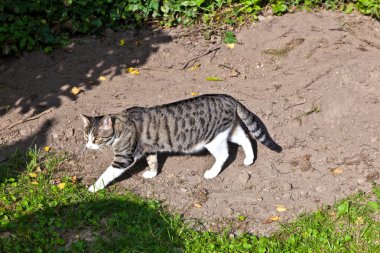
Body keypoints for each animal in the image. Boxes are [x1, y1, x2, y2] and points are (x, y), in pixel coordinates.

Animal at [81, 94, 282, 192]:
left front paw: (93, 188)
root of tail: (228, 97)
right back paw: (249, 159)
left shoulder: (124, 158)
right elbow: (153, 161)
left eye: (96, 138)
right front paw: (152, 173)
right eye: (86, 136)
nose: (88, 146)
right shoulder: (149, 148)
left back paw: (212, 173)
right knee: (245, 138)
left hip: (213, 139)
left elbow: (106, 174)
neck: (121, 125)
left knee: (224, 154)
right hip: (227, 130)